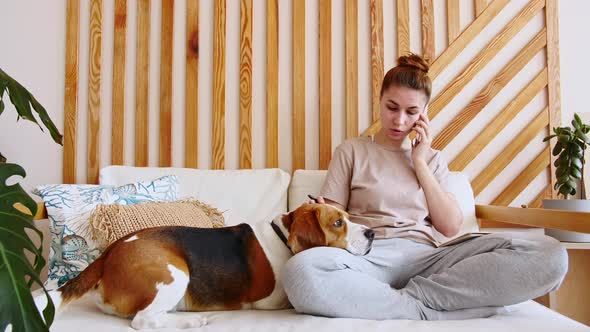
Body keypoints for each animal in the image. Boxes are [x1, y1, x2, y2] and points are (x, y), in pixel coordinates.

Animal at [38, 202, 374, 330]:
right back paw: (194, 321)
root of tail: (109, 253)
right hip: (175, 273)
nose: (371, 233)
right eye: (338, 222)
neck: (282, 237)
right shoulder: (268, 301)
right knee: (144, 321)